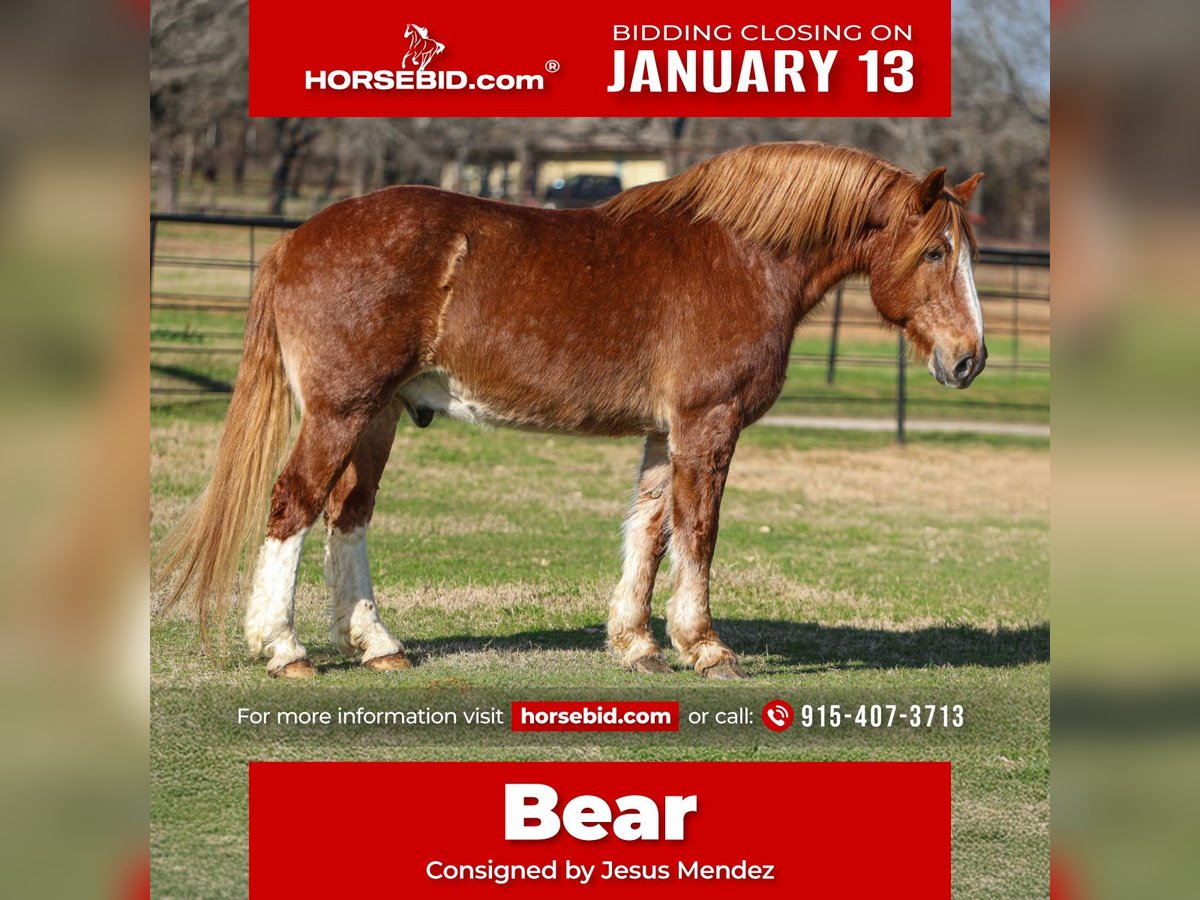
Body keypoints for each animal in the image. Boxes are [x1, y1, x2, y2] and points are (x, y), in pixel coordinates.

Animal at [157, 141, 984, 681]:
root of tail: (296, 240)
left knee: (347, 516)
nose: (969, 358)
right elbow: (699, 530)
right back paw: (285, 650)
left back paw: (380, 646)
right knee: (293, 505)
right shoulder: (706, 421)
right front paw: (705, 647)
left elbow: (650, 529)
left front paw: (638, 645)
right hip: (341, 409)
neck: (743, 258)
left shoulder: (664, 430)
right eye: (936, 252)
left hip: (378, 415)